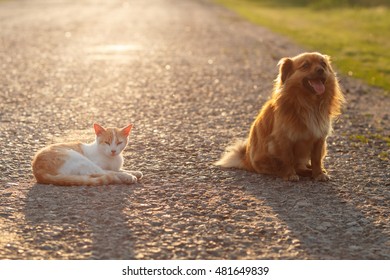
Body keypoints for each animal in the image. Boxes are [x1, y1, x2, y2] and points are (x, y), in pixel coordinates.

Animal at [215, 52, 346, 182]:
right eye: (306, 65)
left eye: (323, 64)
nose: (320, 70)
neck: (309, 103)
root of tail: (246, 159)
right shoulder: (283, 139)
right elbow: (288, 159)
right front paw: (290, 175)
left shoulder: (319, 139)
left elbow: (316, 159)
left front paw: (319, 173)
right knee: (292, 167)